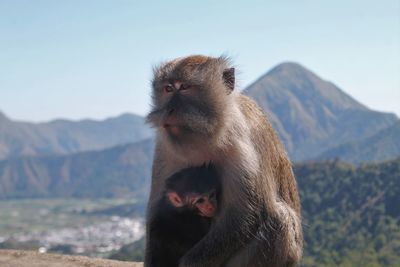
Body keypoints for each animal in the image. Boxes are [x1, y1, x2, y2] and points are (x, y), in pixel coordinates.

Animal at [145, 55, 302, 266]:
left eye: (184, 87)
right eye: (168, 88)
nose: (169, 110)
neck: (204, 138)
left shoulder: (240, 146)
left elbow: (244, 214)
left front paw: (190, 262)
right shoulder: (164, 149)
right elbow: (157, 213)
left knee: (280, 221)